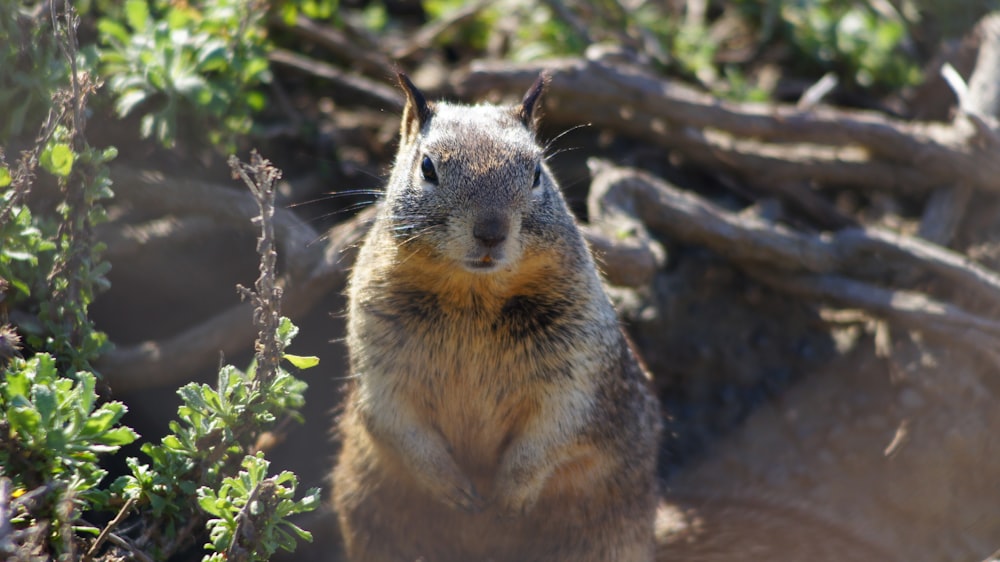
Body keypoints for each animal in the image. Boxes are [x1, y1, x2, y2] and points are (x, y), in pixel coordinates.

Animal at [332, 74, 664, 560]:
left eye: (537, 172)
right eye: (427, 168)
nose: (491, 231)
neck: (475, 295)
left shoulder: (578, 367)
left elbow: (555, 430)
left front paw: (507, 499)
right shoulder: (377, 353)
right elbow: (394, 421)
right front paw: (456, 491)